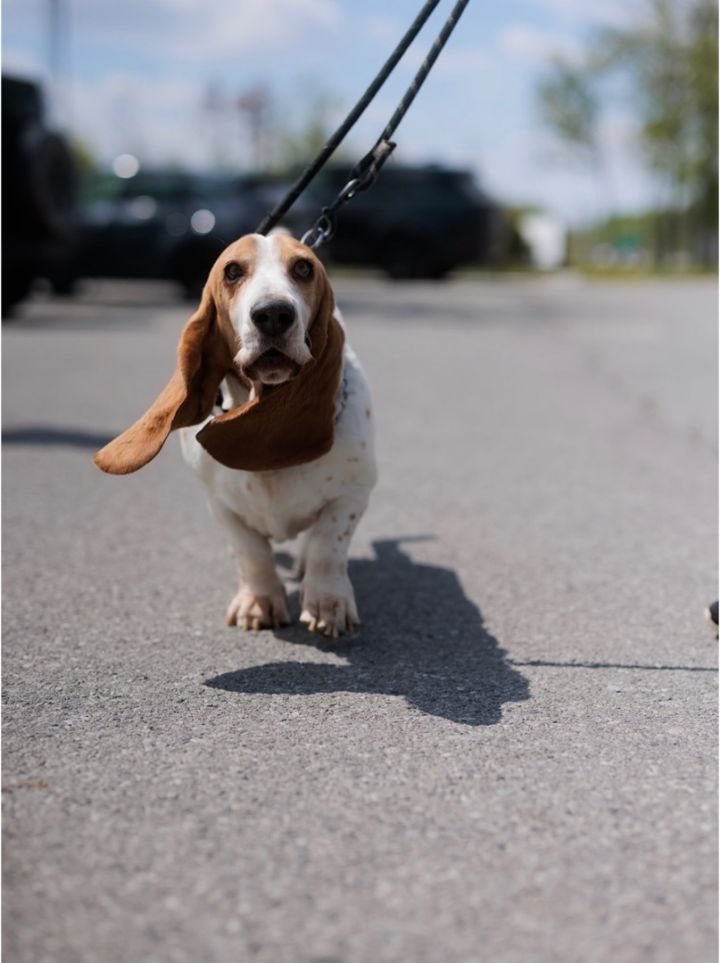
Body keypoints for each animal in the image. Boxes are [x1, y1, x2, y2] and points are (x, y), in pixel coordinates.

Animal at [95, 233, 376, 640]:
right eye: (232, 271)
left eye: (303, 268)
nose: (273, 314)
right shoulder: (220, 505)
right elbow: (251, 553)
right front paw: (258, 603)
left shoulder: (352, 493)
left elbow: (328, 547)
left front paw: (327, 604)